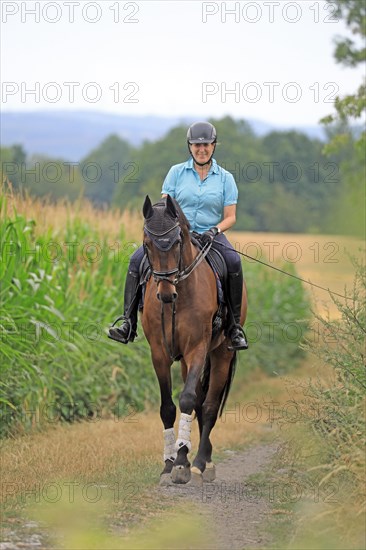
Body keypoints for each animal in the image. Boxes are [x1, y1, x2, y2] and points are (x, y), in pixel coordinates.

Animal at [142, 195, 247, 488]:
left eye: (177, 242)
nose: (166, 294)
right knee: (201, 402)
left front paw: (181, 464)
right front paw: (169, 464)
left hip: (221, 353)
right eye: (147, 243)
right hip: (186, 362)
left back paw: (201, 463)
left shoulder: (198, 348)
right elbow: (168, 407)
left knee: (208, 406)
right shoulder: (159, 353)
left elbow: (188, 400)